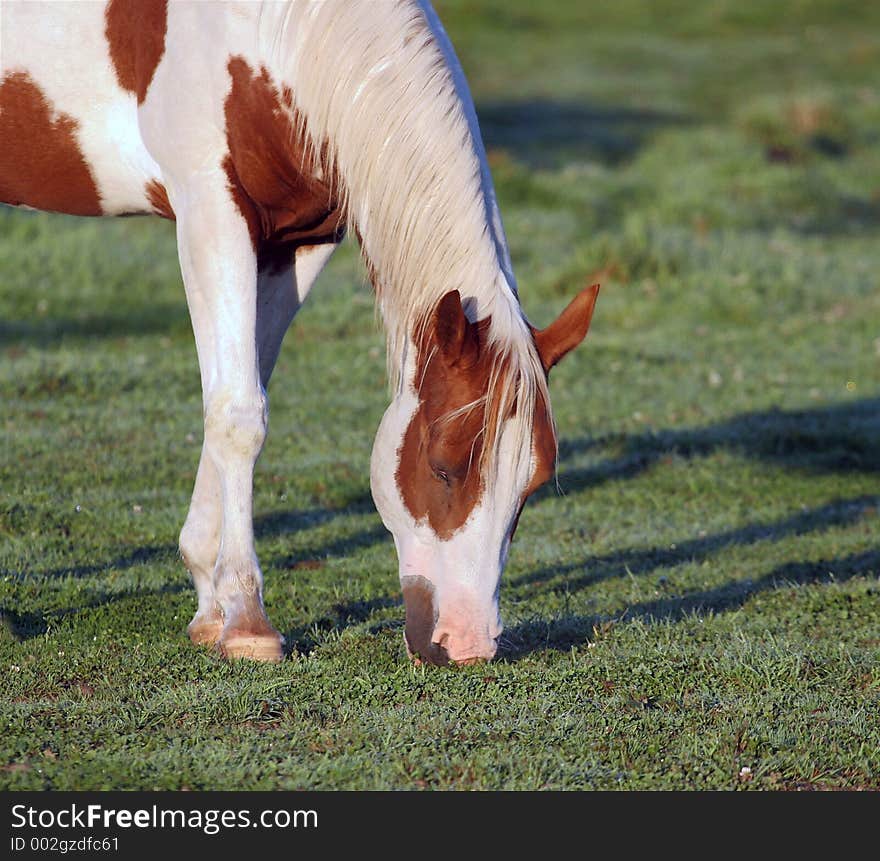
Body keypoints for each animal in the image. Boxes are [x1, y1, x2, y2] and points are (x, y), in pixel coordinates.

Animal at [0, 1, 600, 664]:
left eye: (533, 485)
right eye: (443, 467)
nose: (467, 646)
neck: (274, 32)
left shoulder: (299, 239)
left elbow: (241, 386)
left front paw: (210, 603)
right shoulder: (210, 211)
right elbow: (239, 414)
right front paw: (248, 621)